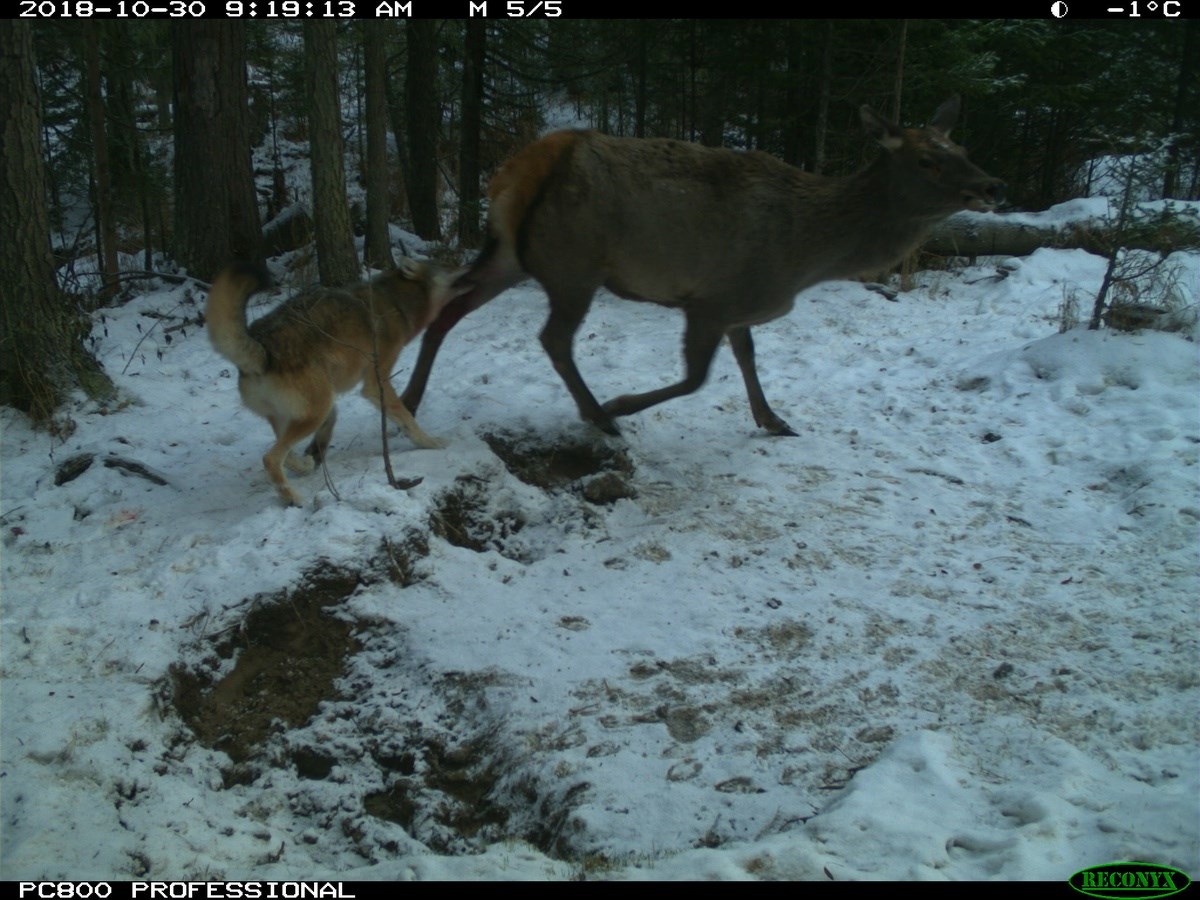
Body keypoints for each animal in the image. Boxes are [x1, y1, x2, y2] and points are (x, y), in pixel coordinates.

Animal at [398, 98, 998, 436]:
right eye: (928, 159)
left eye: (965, 148)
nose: (993, 185)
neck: (806, 257)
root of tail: (522, 165)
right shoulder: (713, 299)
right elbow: (696, 378)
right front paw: (622, 402)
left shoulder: (738, 305)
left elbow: (747, 355)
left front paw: (773, 420)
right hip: (574, 262)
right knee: (552, 338)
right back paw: (599, 416)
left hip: (512, 256)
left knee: (449, 309)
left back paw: (409, 399)